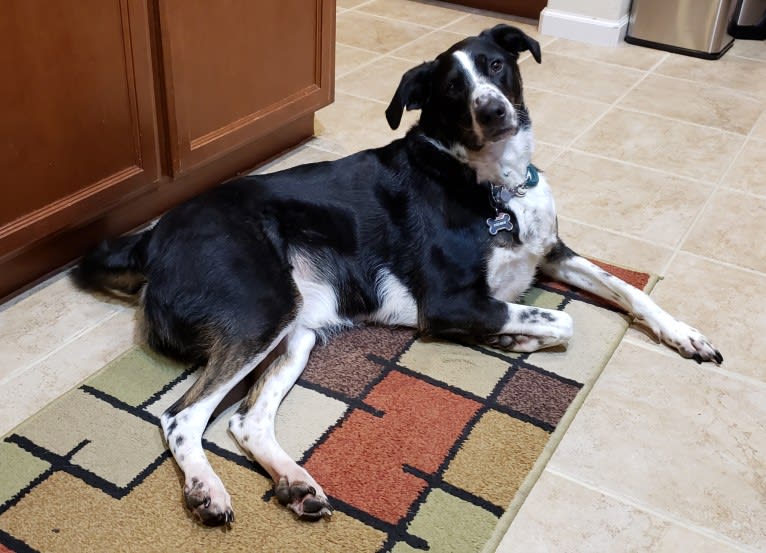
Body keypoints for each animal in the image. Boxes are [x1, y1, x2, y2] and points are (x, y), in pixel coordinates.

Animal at [75, 24, 724, 528]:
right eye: (451, 89)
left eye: (496, 65)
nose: (494, 109)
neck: (494, 184)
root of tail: (151, 237)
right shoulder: (450, 301)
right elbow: (562, 323)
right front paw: (514, 336)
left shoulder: (552, 252)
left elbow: (626, 288)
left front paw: (685, 333)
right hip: (262, 310)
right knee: (181, 417)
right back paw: (207, 492)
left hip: (296, 330)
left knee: (247, 420)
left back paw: (296, 484)